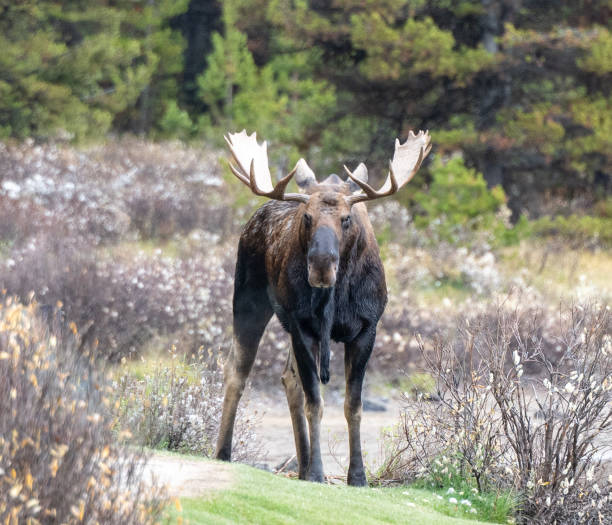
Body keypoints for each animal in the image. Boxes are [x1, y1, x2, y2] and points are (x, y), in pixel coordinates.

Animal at [218, 129, 432, 486]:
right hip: (248, 301)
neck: (335, 298)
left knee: (287, 379)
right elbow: (315, 403)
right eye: (307, 217)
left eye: (346, 219)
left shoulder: (366, 329)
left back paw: (302, 464)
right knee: (237, 371)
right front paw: (319, 473)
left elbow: (352, 405)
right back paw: (224, 452)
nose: (320, 264)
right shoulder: (303, 325)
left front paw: (356, 475)